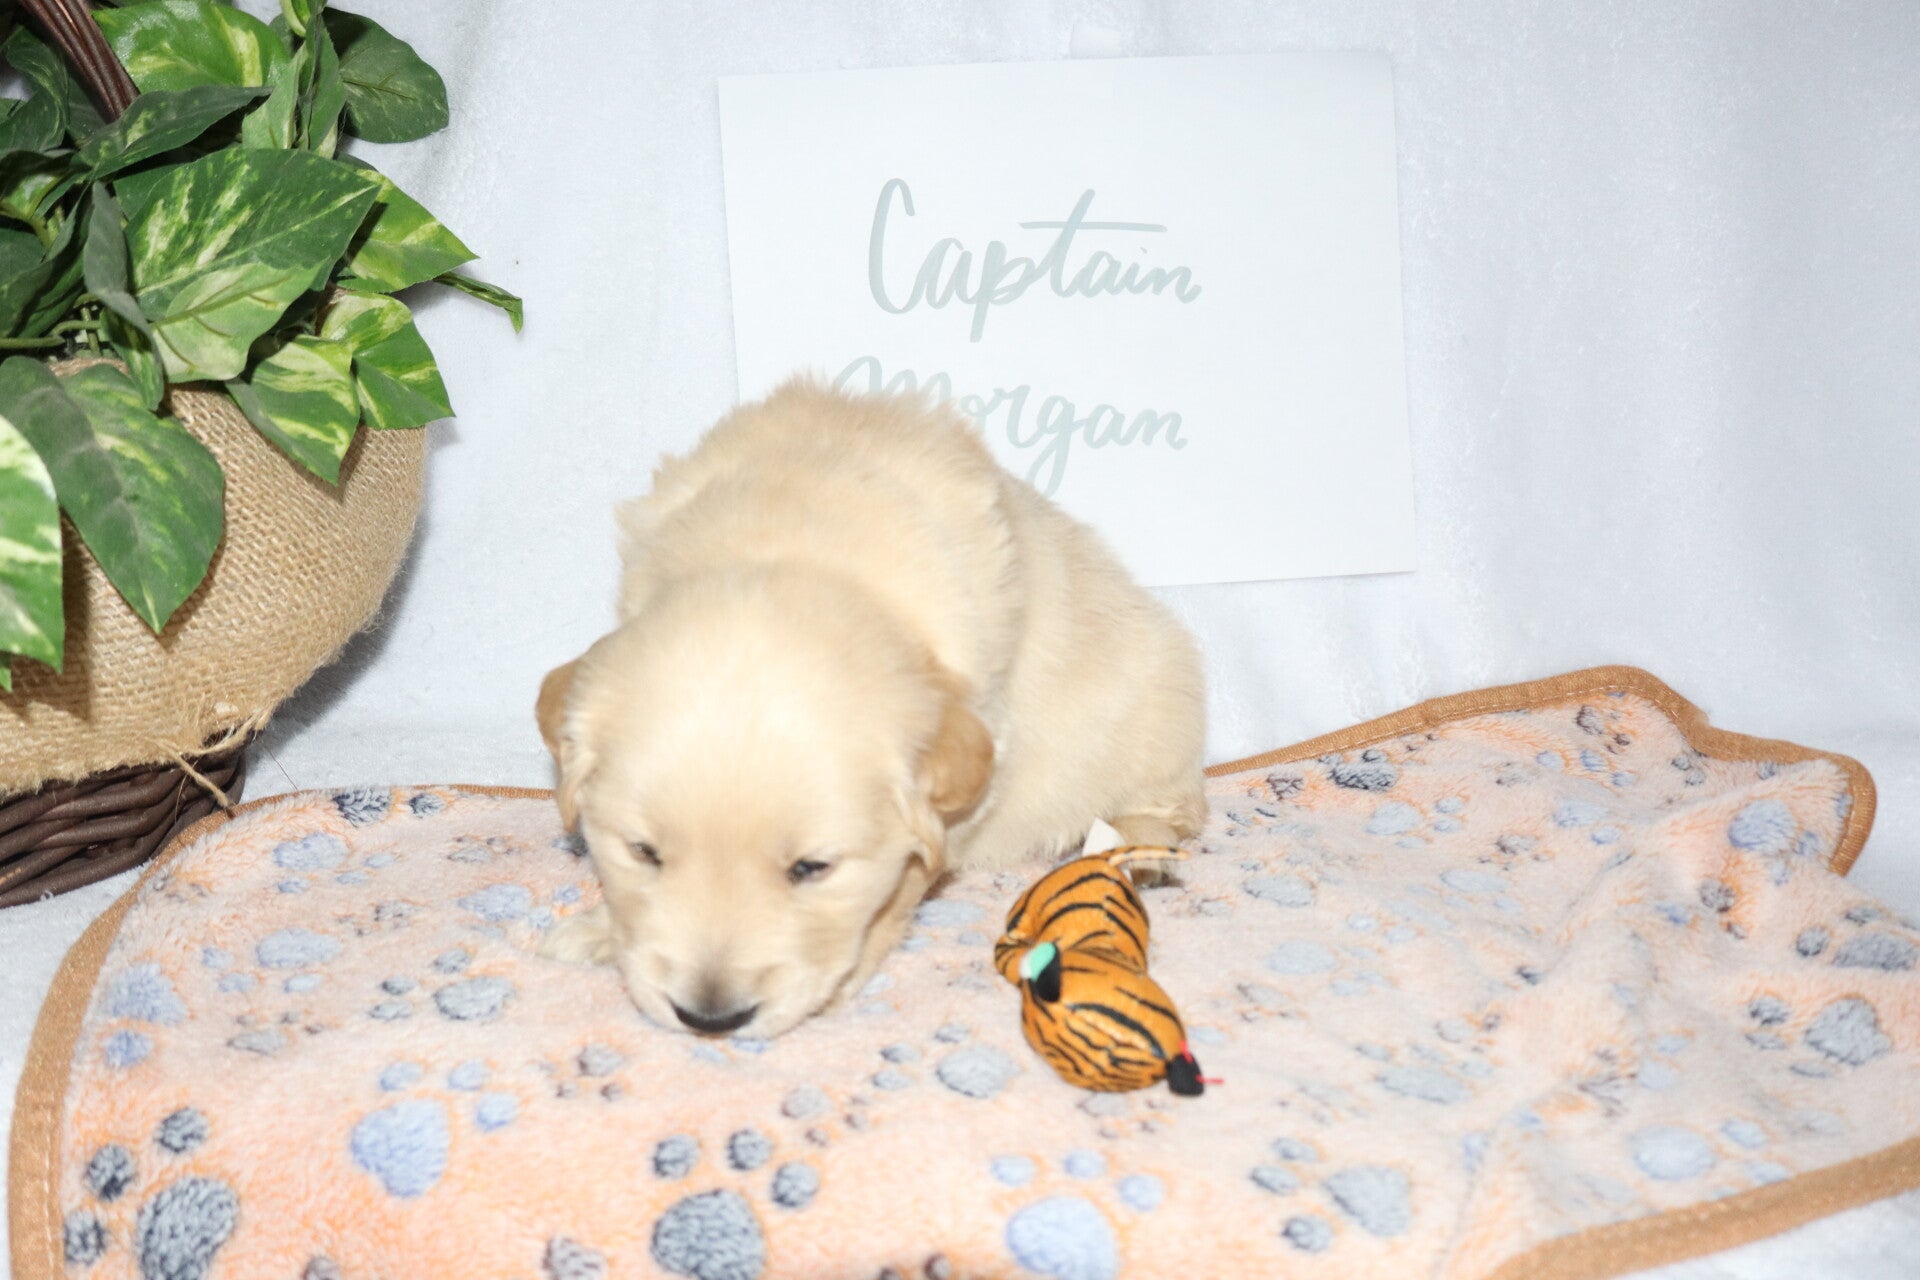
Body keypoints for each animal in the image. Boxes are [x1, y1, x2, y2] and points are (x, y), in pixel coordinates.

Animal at [536, 381, 1206, 1037]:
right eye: (643, 853)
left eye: (812, 868)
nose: (710, 1019)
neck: (790, 549)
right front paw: (599, 930)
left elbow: (906, 882)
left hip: (1154, 711)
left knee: (1172, 808)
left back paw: (1137, 851)